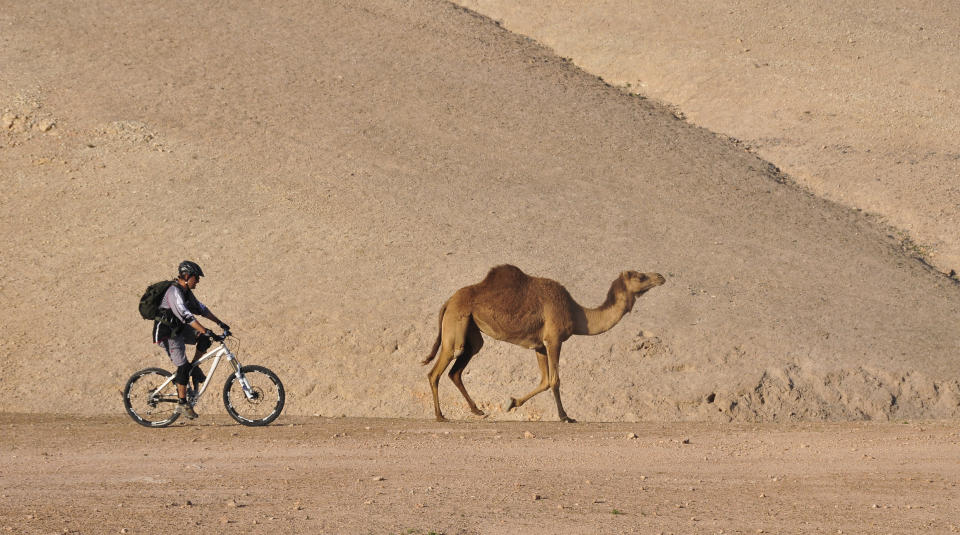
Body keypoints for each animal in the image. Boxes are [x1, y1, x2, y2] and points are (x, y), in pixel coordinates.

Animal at [424, 264, 664, 422]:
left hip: (472, 330)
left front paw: (512, 403)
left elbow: (544, 380)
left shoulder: (539, 345)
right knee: (436, 371)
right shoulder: (554, 339)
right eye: (641, 277)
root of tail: (448, 302)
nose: (661, 277)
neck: (577, 314)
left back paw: (477, 411)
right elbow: (555, 380)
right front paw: (565, 416)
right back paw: (440, 416)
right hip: (456, 325)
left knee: (457, 369)